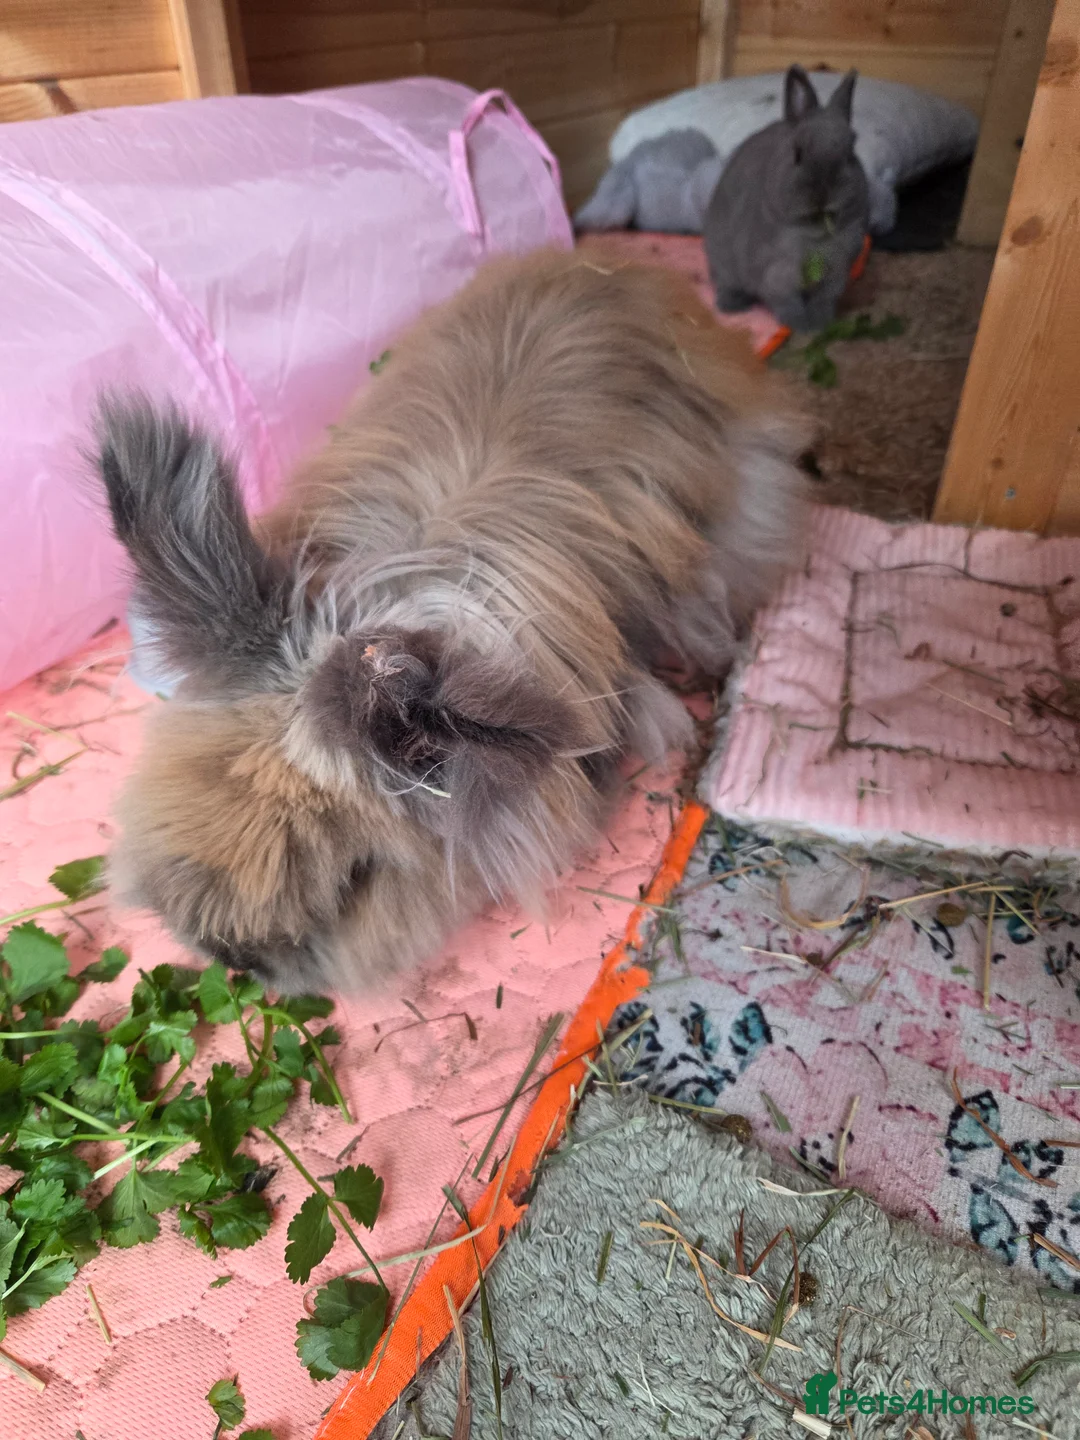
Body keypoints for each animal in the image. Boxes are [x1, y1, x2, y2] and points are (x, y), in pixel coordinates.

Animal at [703, 65, 869, 333]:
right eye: (797, 153)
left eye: (851, 152)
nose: (823, 194)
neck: (814, 236)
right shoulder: (776, 275)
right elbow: (786, 301)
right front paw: (800, 326)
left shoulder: (837, 273)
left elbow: (824, 299)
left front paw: (821, 322)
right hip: (721, 259)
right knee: (725, 283)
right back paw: (731, 306)